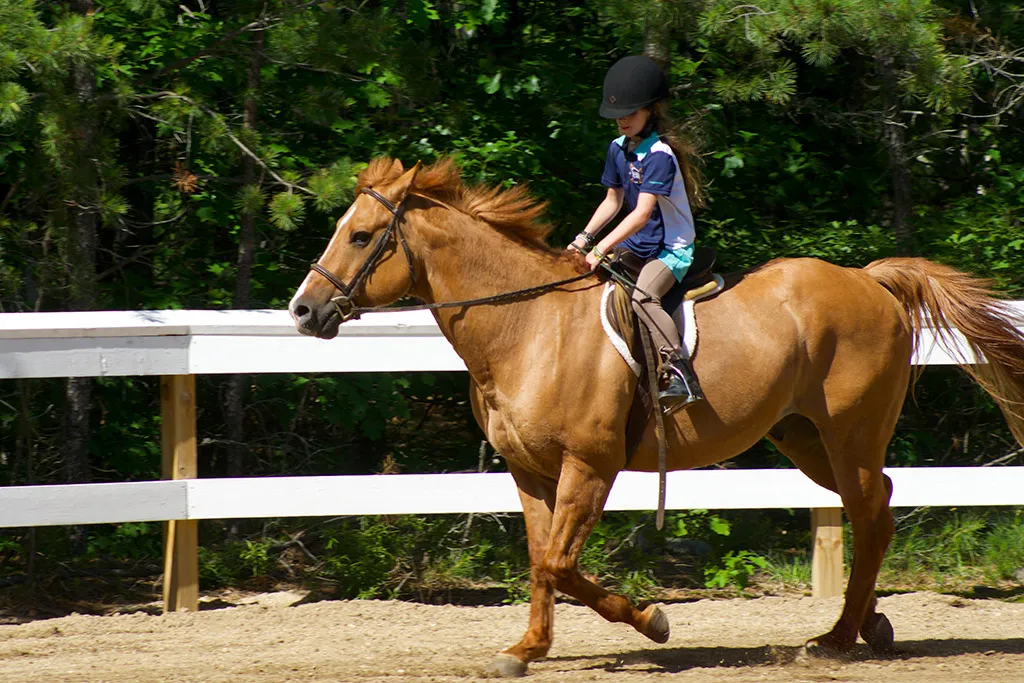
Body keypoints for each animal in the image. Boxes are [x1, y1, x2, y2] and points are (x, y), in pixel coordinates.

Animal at [289, 157, 1024, 677]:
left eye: (361, 235)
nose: (302, 311)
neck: (526, 327)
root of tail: (869, 280)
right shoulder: (529, 472)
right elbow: (540, 560)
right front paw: (528, 647)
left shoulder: (590, 465)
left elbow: (560, 563)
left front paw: (651, 620)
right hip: (806, 439)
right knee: (877, 507)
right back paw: (867, 624)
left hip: (849, 434)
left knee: (870, 512)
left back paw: (837, 638)